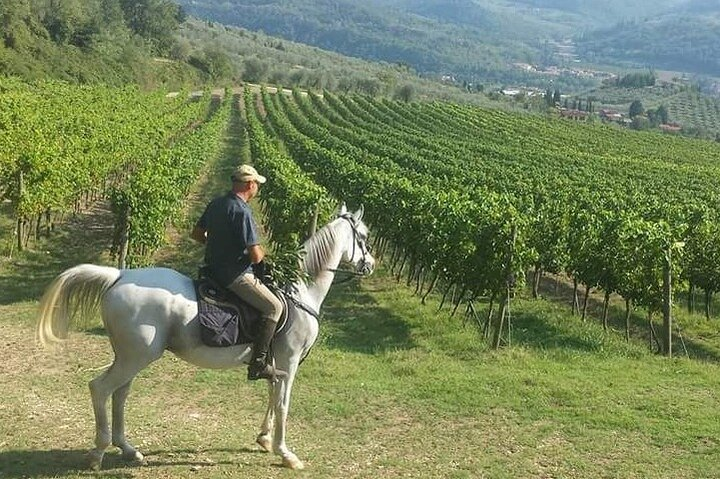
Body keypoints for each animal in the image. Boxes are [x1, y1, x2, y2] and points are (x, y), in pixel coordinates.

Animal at [36, 204, 374, 470]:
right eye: (364, 236)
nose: (370, 265)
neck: (298, 291)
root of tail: (120, 275)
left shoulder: (275, 363)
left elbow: (271, 396)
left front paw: (264, 439)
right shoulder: (288, 361)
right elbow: (282, 403)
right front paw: (285, 453)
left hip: (130, 357)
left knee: (120, 394)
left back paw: (129, 450)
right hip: (136, 357)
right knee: (100, 388)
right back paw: (97, 453)